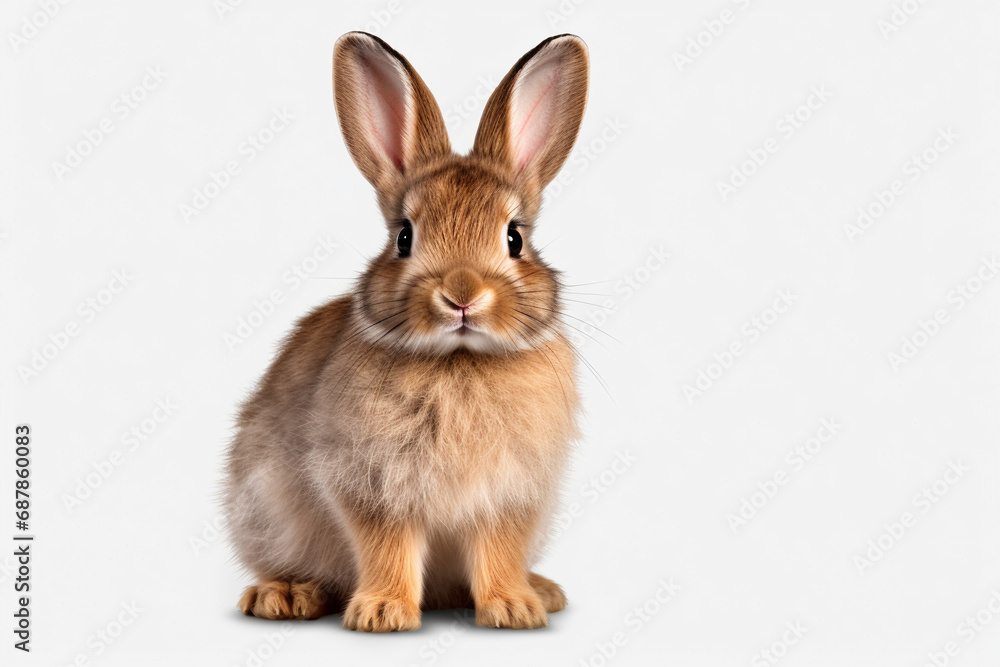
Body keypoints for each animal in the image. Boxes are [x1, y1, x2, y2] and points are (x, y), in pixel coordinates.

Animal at [224, 30, 589, 632]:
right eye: (403, 237)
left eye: (515, 238)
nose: (462, 294)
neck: (459, 360)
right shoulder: (371, 484)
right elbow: (387, 546)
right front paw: (382, 612)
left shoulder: (510, 495)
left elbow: (498, 549)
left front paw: (514, 608)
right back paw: (284, 595)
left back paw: (543, 590)